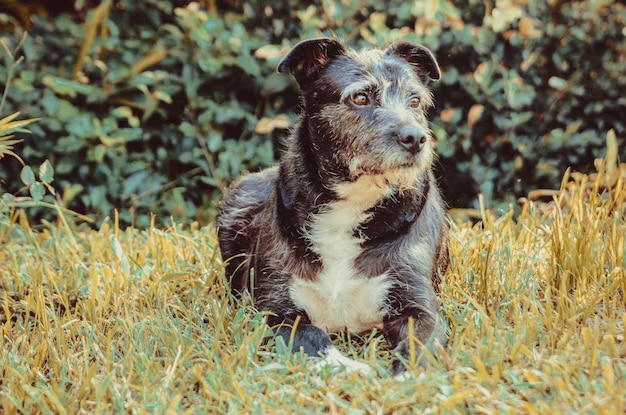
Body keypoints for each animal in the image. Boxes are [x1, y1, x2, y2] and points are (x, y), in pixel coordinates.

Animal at [216, 39, 448, 376]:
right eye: (361, 97)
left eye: (415, 101)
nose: (416, 138)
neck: (354, 201)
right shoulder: (274, 311)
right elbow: (312, 337)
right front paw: (351, 369)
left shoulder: (418, 305)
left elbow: (418, 346)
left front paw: (402, 379)